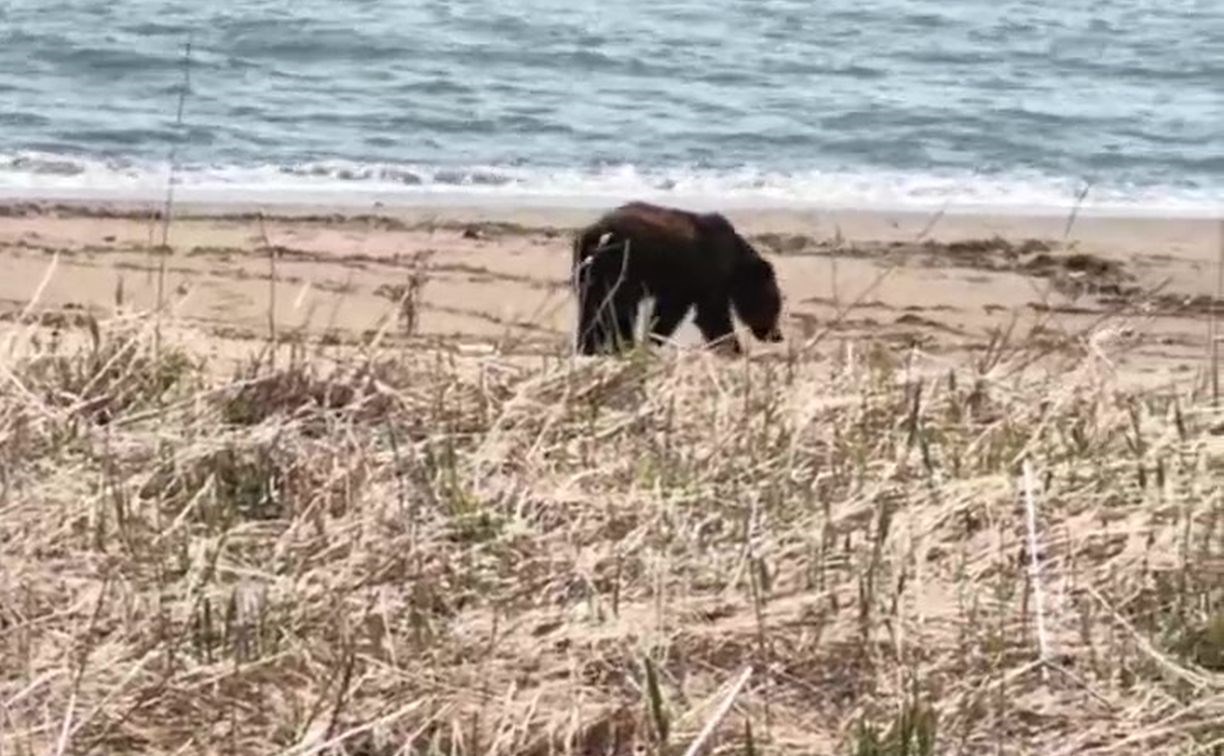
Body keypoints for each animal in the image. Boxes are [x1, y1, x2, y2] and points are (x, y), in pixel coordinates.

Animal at [570, 201, 783, 355]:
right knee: (613, 307)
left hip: (592, 270)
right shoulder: (707, 274)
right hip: (620, 266)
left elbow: (670, 314)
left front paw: (653, 339)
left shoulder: (683, 286)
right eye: (774, 306)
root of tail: (591, 232)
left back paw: (593, 346)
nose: (777, 336)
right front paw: (734, 348)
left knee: (595, 307)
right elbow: (711, 316)